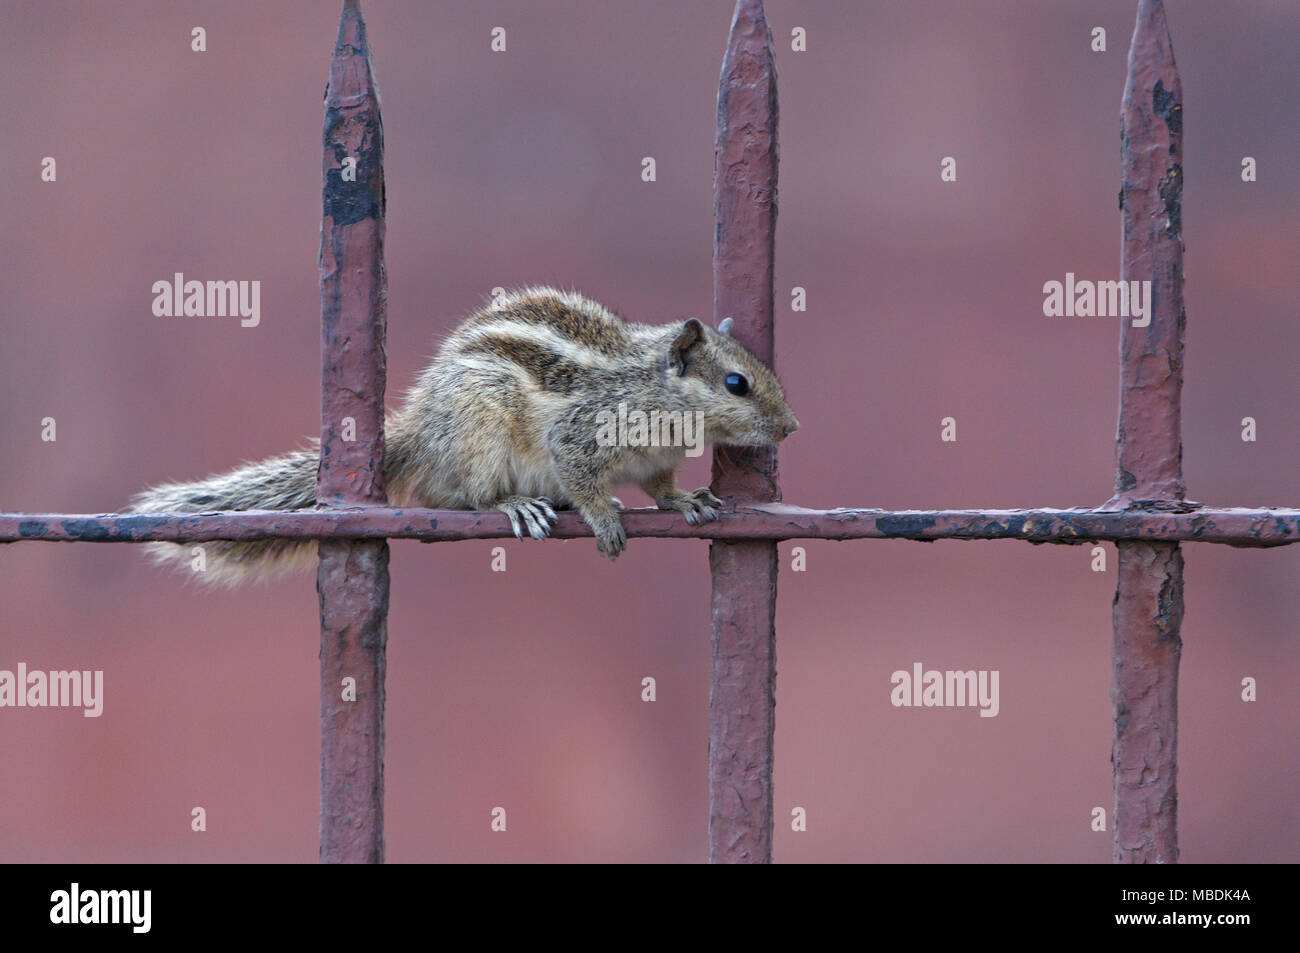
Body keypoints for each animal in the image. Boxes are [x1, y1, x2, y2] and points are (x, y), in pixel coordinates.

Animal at [134, 282, 800, 582]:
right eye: (737, 383)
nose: (791, 427)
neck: (655, 389)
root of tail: (422, 430)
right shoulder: (583, 433)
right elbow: (581, 474)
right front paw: (603, 518)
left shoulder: (654, 459)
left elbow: (661, 486)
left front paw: (686, 499)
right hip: (481, 424)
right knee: (449, 496)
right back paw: (514, 504)